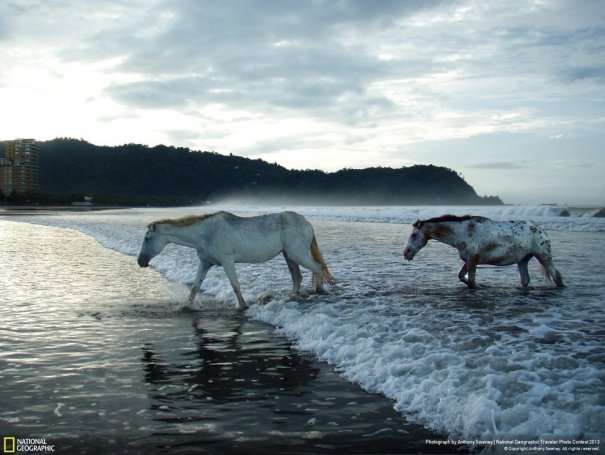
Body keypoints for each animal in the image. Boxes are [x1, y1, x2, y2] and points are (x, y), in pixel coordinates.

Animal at [136, 212, 336, 308]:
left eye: (147, 238)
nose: (140, 262)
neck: (205, 233)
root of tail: (306, 222)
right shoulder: (205, 263)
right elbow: (195, 286)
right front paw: (187, 306)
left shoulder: (227, 262)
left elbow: (235, 285)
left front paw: (243, 306)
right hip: (289, 256)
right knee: (297, 277)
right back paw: (292, 297)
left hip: (297, 255)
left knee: (317, 268)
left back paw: (319, 292)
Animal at [404, 215, 564, 288]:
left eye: (414, 235)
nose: (406, 253)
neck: (462, 233)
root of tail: (541, 230)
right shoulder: (468, 261)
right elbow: (461, 276)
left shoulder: (472, 261)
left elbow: (471, 281)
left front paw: (477, 286)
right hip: (523, 260)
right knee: (525, 280)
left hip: (544, 257)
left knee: (557, 277)